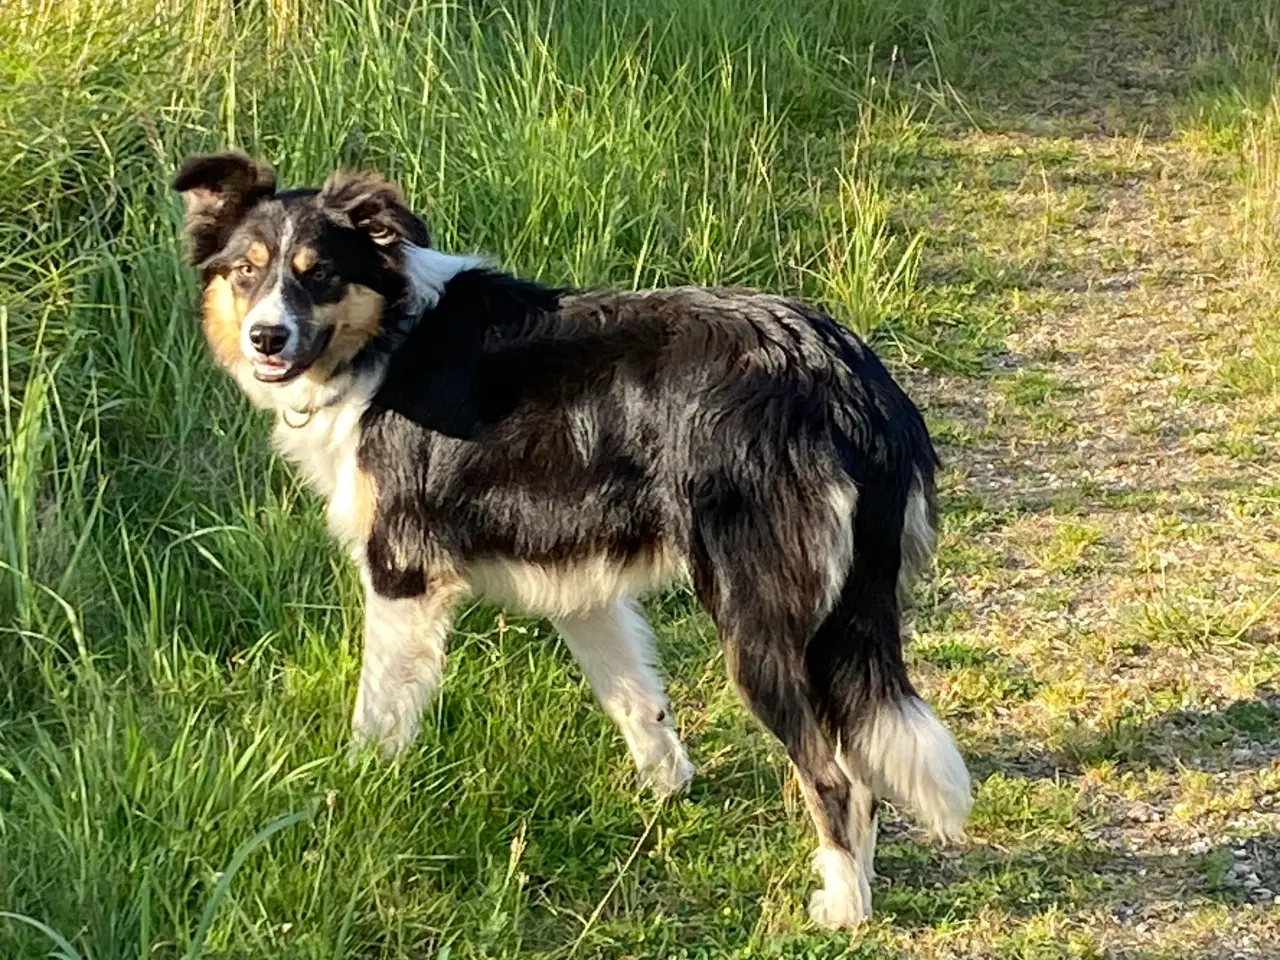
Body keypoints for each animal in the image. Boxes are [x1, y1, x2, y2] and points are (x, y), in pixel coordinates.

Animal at [170, 152, 967, 931]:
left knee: (836, 776)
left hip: (760, 623)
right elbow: (635, 699)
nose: (266, 337)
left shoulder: (403, 575)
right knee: (855, 762)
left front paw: (352, 793)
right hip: (837, 615)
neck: (384, 344)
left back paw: (844, 908)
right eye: (247, 270)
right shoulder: (579, 588)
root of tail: (848, 377)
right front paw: (667, 790)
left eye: (320, 274)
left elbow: (378, 713)